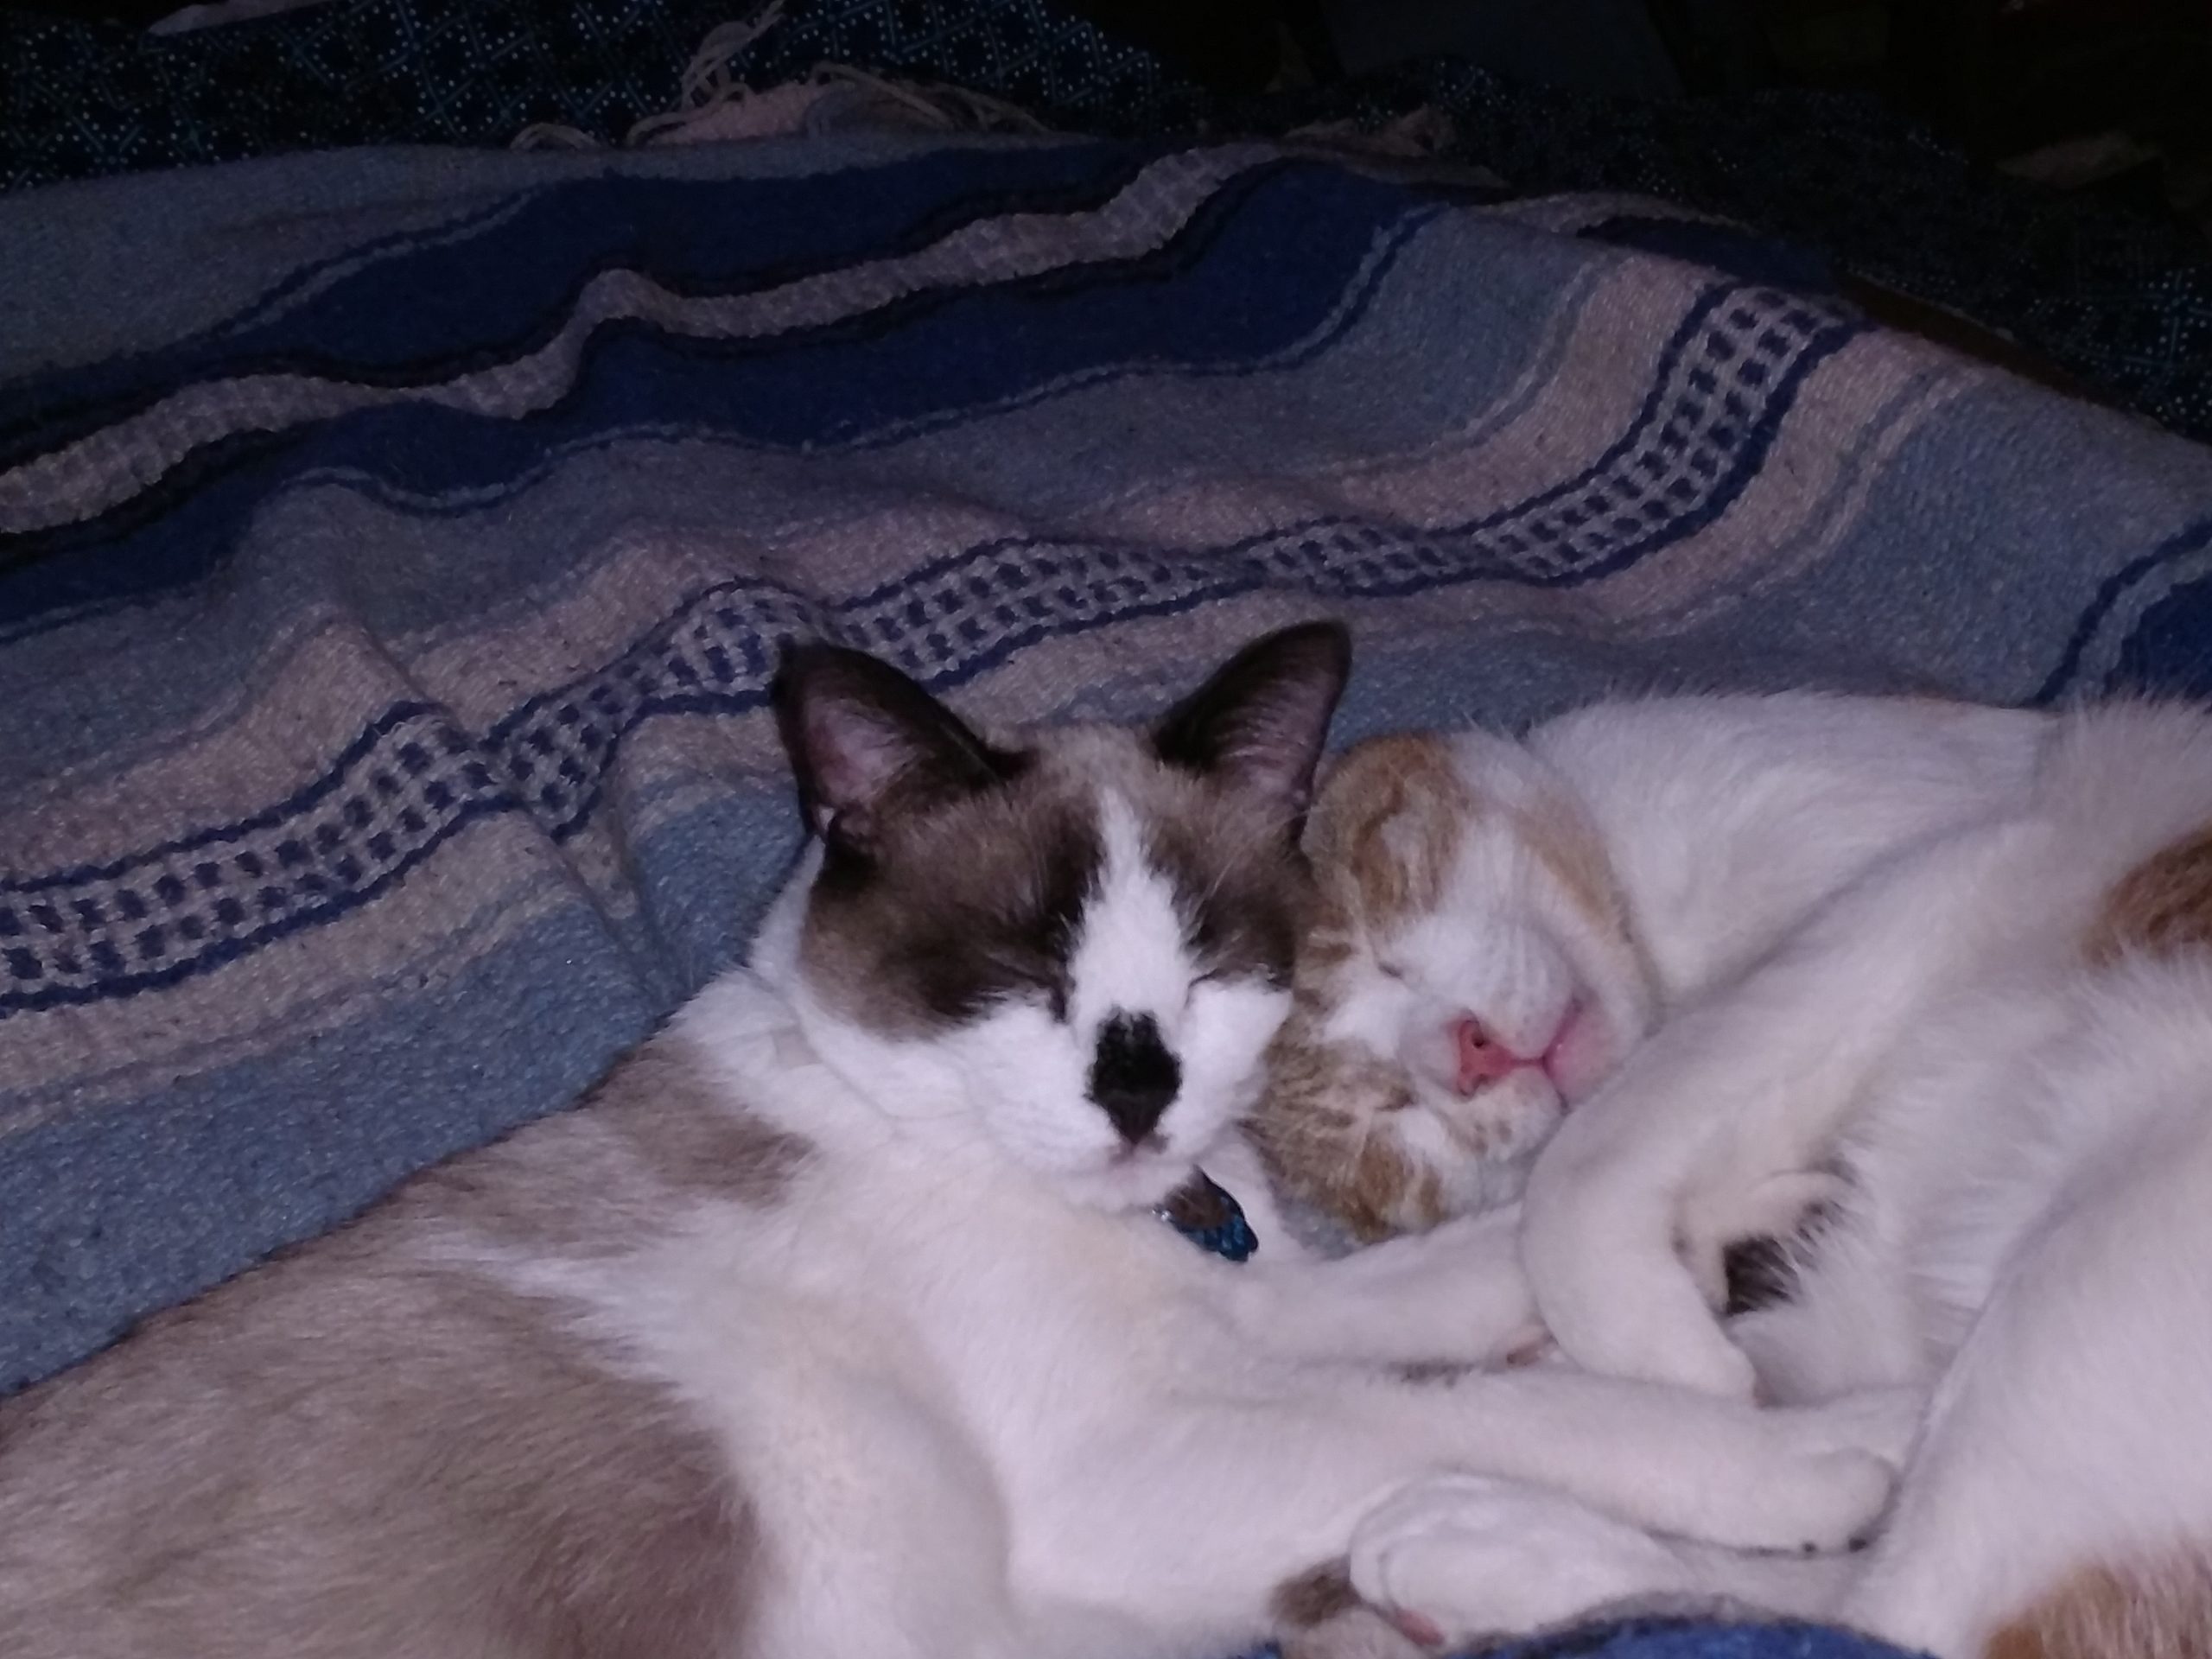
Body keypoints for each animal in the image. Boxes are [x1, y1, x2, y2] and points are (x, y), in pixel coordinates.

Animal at [0, 628, 1902, 1659]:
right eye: (1023, 971)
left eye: (1203, 960)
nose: (1136, 1092)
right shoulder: (1143, 1460)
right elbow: (1517, 1412)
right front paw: (1822, 1457)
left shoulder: (1251, 1316)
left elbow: (1482, 1268)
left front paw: (1762, 1228)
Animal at [1256, 690, 2212, 1659]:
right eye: (1385, 1122)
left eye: (1385, 940)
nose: (1466, 1056)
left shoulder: (1937, 878)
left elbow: (1586, 1161)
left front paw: (1675, 1359)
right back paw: (1471, 1554)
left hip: (2098, 1253)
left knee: (1891, 1620)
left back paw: (1481, 1544)